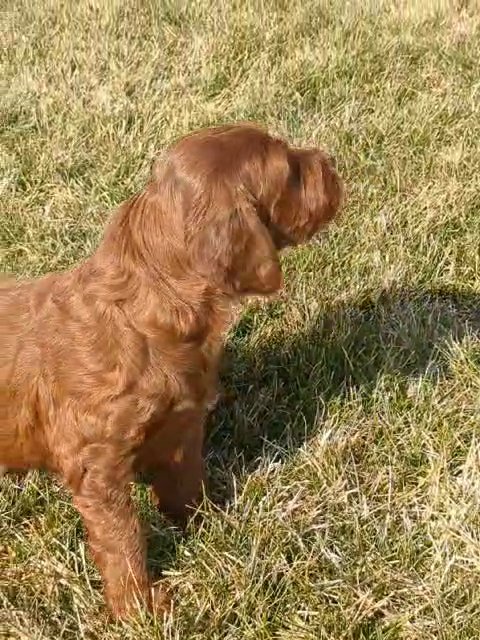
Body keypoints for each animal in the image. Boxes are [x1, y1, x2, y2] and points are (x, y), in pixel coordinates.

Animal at [0, 122, 344, 616]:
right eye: (291, 171)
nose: (332, 162)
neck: (148, 301)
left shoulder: (181, 425)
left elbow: (186, 485)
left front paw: (213, 529)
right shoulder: (98, 461)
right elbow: (122, 536)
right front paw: (138, 609)